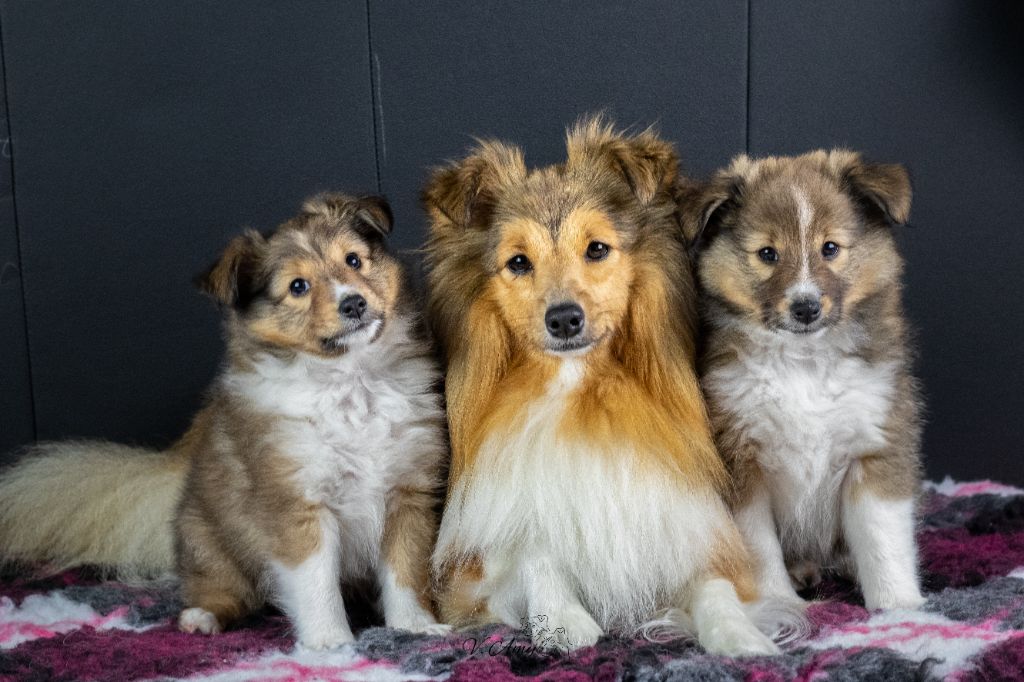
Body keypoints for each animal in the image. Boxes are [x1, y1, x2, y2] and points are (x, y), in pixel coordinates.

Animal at [419, 118, 794, 655]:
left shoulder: (688, 532)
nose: (564, 319)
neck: (578, 394)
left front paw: (740, 637)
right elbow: (535, 552)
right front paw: (563, 619)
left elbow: (716, 588)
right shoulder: (471, 576)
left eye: (596, 248)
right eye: (518, 262)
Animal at [679, 151, 929, 606]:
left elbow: (883, 538)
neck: (803, 362)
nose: (806, 307)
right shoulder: (740, 460)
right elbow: (757, 546)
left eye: (830, 248)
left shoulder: (875, 444)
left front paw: (898, 606)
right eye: (767, 253)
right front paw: (777, 602)